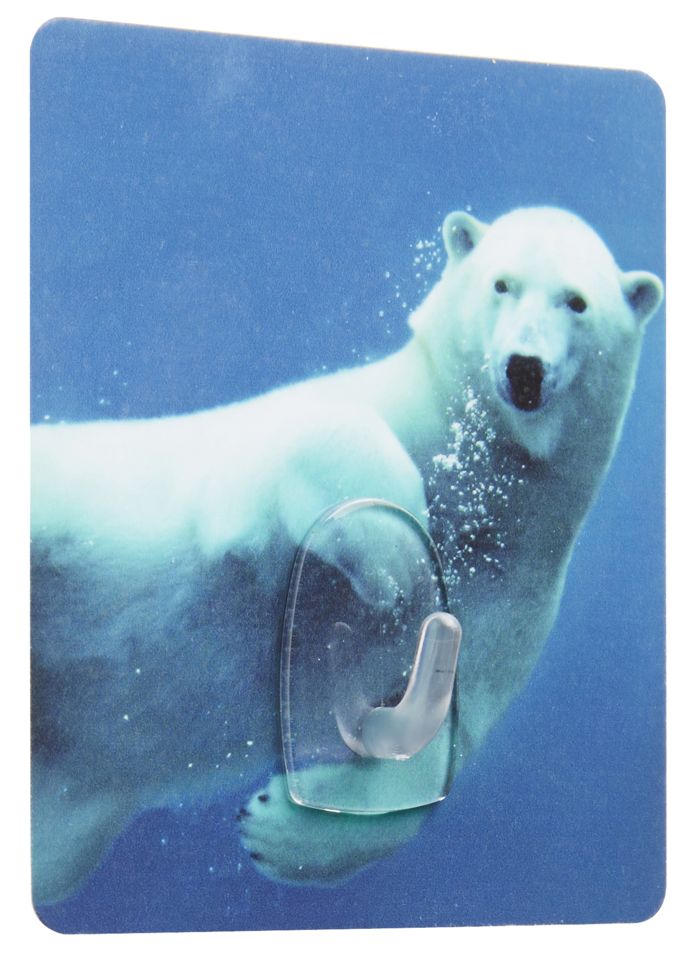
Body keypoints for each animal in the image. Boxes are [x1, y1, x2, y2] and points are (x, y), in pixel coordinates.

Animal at [30, 206, 663, 905]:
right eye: (502, 283)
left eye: (576, 301)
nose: (524, 368)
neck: (483, 483)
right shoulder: (269, 455)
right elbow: (314, 438)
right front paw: (398, 558)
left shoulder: (515, 590)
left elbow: (441, 731)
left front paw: (275, 829)